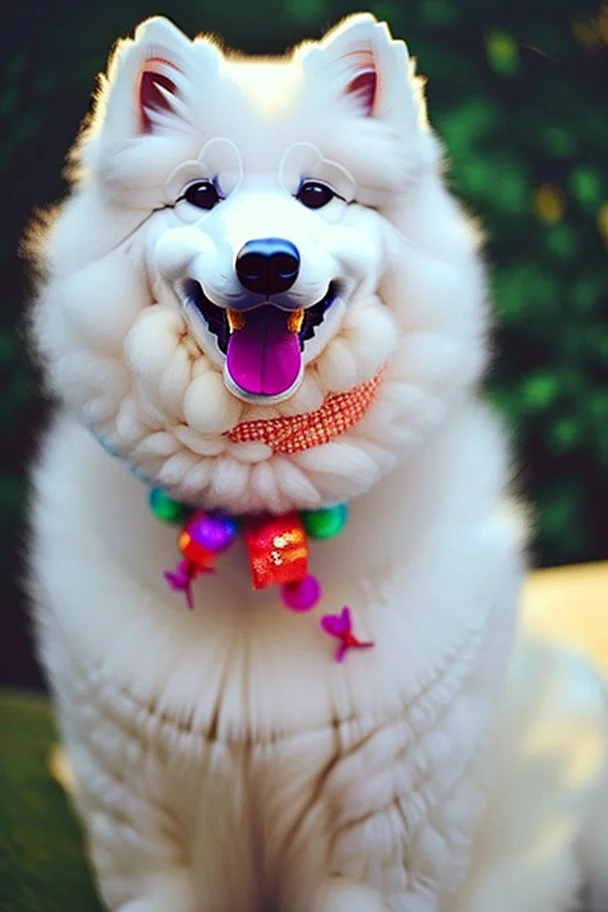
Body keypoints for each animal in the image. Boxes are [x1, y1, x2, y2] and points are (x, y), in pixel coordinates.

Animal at [26, 14, 608, 912]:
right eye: (202, 194)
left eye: (317, 195)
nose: (269, 261)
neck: (259, 504)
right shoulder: (144, 827)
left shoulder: (385, 837)